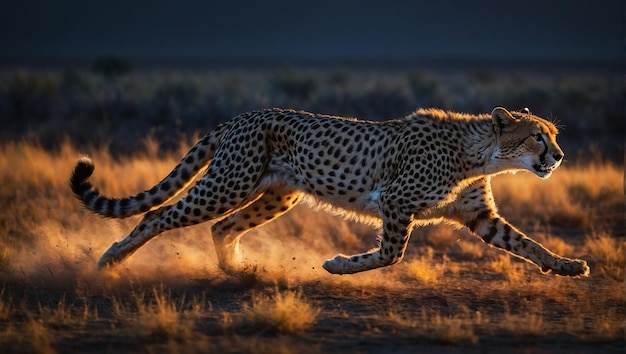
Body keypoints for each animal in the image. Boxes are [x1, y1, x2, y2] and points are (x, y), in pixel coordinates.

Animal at [70, 106, 588, 278]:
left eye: (552, 135)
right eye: (537, 137)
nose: (560, 156)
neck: (481, 151)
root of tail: (243, 115)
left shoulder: (480, 217)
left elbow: (528, 244)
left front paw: (567, 266)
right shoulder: (396, 202)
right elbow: (391, 254)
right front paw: (338, 266)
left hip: (278, 196)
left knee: (222, 227)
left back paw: (240, 273)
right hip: (227, 185)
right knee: (157, 216)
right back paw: (111, 260)